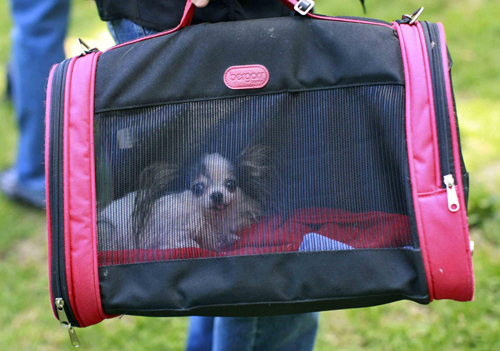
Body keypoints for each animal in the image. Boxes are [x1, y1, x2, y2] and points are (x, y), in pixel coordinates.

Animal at [95, 146, 272, 253]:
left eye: (231, 184)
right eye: (198, 188)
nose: (216, 195)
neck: (212, 219)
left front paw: (226, 239)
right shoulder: (173, 234)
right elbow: (188, 243)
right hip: (107, 229)